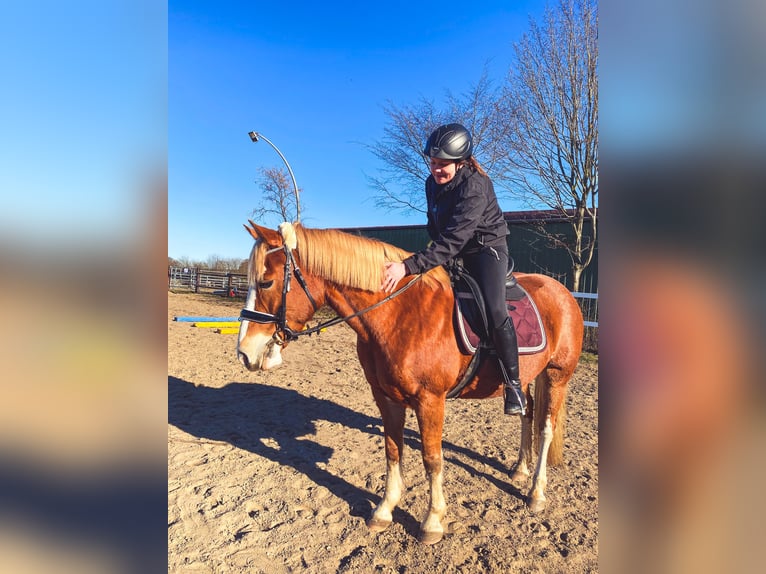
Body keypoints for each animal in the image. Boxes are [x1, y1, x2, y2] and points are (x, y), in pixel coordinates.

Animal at [237, 223, 584, 548]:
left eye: (266, 282)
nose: (244, 353)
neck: (399, 314)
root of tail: (563, 293)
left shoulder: (430, 400)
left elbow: (432, 458)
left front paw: (433, 521)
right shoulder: (385, 397)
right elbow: (393, 450)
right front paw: (383, 510)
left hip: (556, 375)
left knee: (546, 428)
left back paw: (536, 493)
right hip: (524, 378)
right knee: (526, 413)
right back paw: (520, 469)